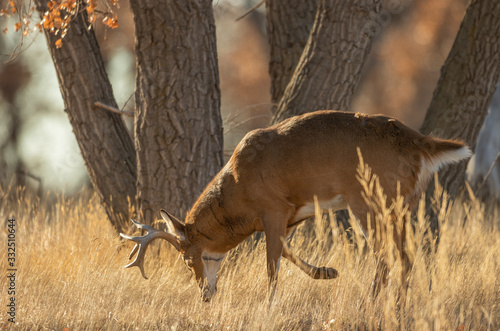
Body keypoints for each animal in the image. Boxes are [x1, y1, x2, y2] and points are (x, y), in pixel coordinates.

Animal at [119, 110, 470, 302]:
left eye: (186, 259)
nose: (205, 295)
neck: (238, 191)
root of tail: (420, 143)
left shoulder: (272, 208)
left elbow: (272, 265)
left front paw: (268, 306)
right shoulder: (292, 213)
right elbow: (286, 253)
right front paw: (328, 272)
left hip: (370, 199)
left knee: (388, 255)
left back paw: (370, 303)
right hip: (403, 204)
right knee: (407, 255)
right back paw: (399, 305)